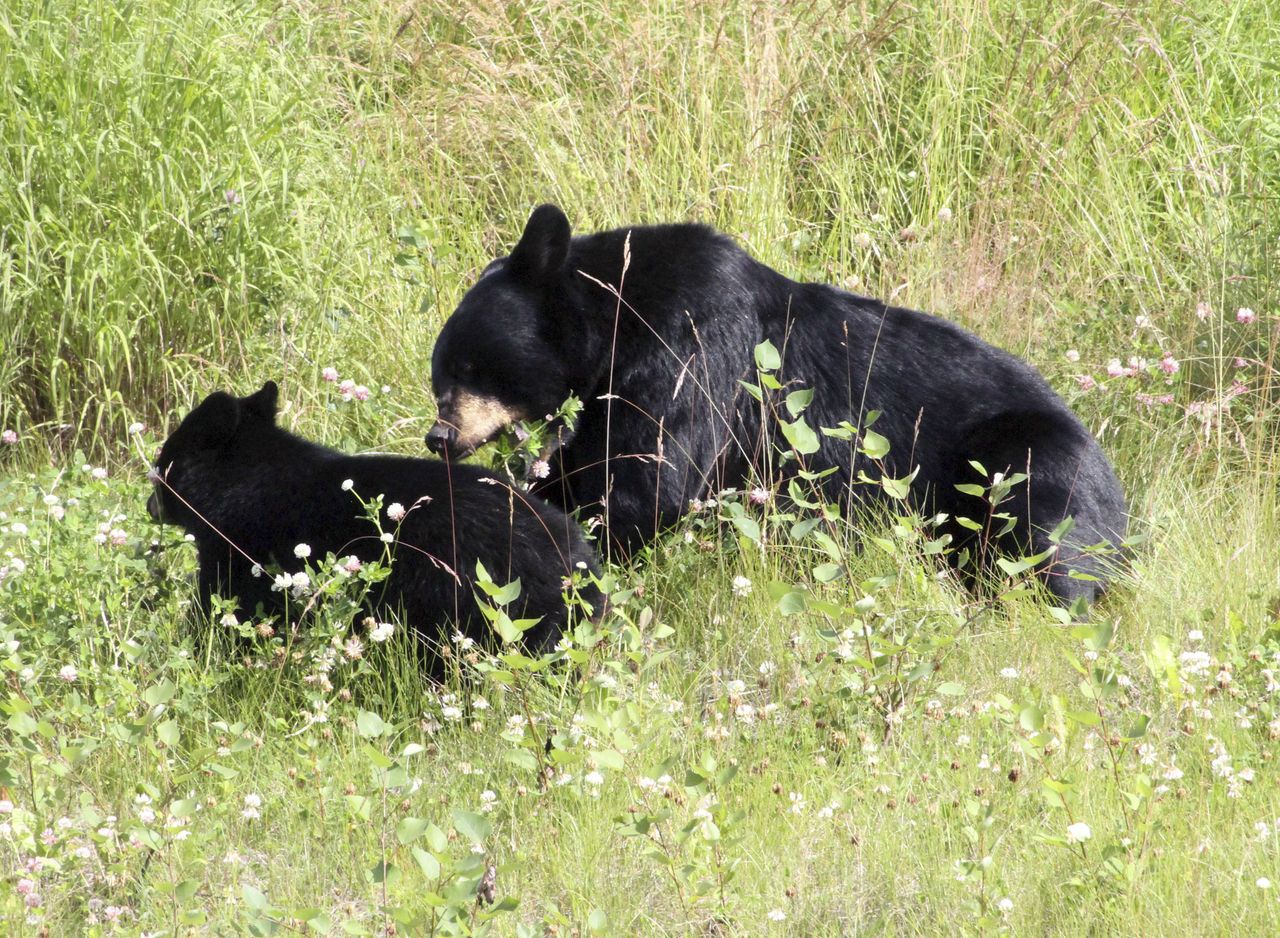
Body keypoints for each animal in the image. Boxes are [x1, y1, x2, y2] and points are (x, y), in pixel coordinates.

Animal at [424, 203, 1126, 598]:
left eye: (470, 365)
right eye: (439, 375)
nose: (440, 437)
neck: (616, 315)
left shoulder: (693, 345)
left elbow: (646, 476)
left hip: (1024, 460)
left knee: (1046, 535)